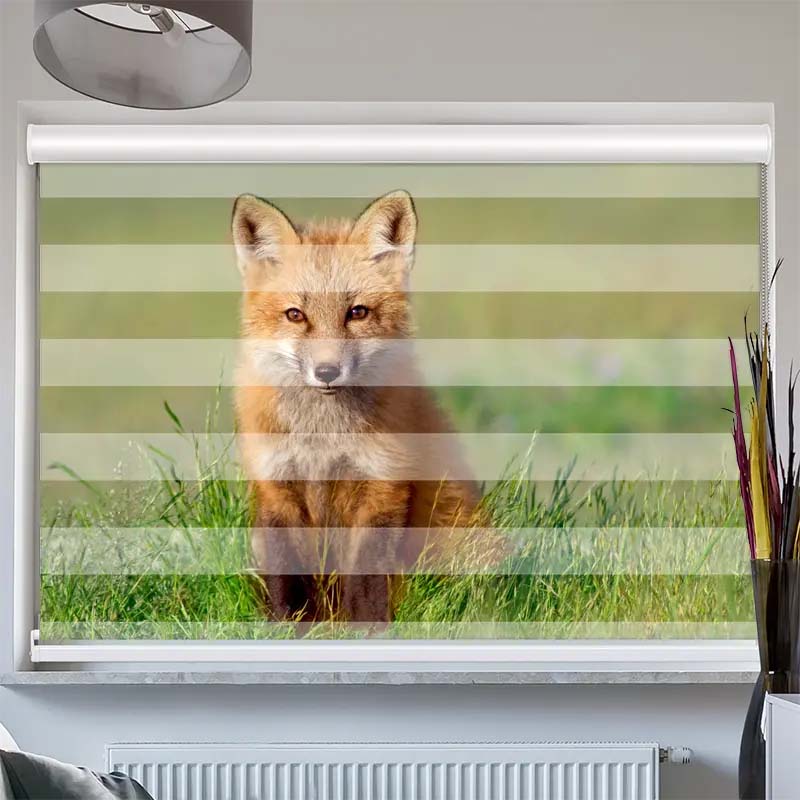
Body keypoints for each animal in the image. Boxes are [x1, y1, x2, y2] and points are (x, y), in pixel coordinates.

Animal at [231, 189, 484, 624]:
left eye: (357, 312)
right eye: (295, 315)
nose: (327, 371)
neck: (323, 438)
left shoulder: (383, 485)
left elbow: (366, 579)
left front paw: (369, 628)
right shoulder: (276, 486)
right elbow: (285, 579)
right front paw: (286, 626)